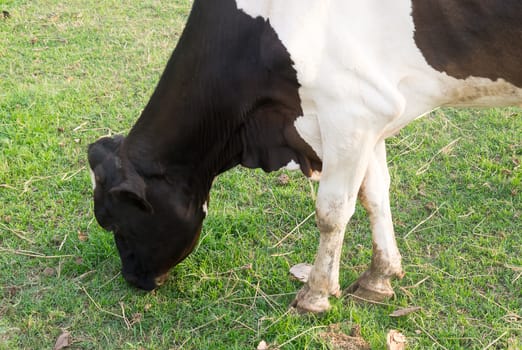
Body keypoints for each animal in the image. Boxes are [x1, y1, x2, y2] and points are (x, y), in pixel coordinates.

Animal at [87, 0, 516, 312]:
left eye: (115, 223)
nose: (132, 279)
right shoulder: (370, 114)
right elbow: (375, 194)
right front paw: (380, 276)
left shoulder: (350, 108)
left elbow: (332, 212)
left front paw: (316, 295)